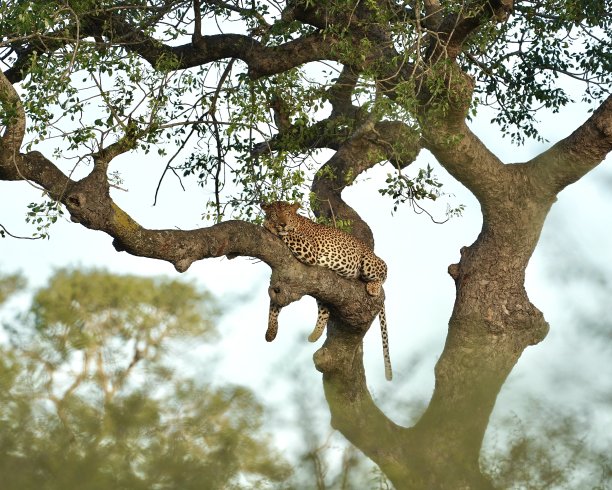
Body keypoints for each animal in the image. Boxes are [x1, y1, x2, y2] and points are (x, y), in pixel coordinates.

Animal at [260, 201, 392, 380]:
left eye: (287, 213)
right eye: (275, 213)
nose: (282, 223)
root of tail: (368, 249)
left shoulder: (309, 249)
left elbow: (288, 235)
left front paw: (269, 226)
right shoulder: (281, 285)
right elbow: (273, 306)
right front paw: (271, 332)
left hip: (369, 262)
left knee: (384, 272)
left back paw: (373, 286)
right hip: (322, 289)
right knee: (324, 310)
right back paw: (314, 335)